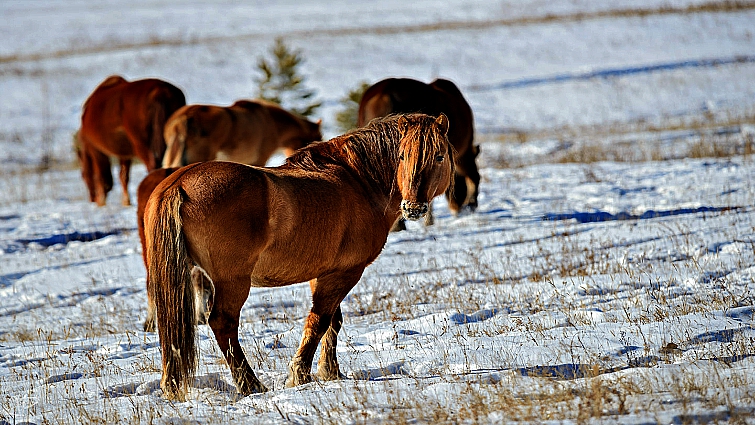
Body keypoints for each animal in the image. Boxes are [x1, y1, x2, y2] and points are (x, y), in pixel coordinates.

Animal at [76, 75, 188, 206]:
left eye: (83, 176)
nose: (92, 200)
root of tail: (159, 91)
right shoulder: (124, 153)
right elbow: (123, 176)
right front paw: (126, 201)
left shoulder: (96, 150)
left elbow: (103, 179)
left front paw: (102, 202)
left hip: (141, 145)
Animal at [145, 112, 454, 398]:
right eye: (401, 156)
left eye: (439, 156)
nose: (413, 207)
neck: (357, 180)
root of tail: (179, 184)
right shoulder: (346, 272)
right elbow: (319, 321)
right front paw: (300, 375)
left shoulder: (325, 273)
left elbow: (333, 322)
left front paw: (330, 372)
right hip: (233, 282)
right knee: (223, 323)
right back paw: (251, 385)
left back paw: (172, 385)